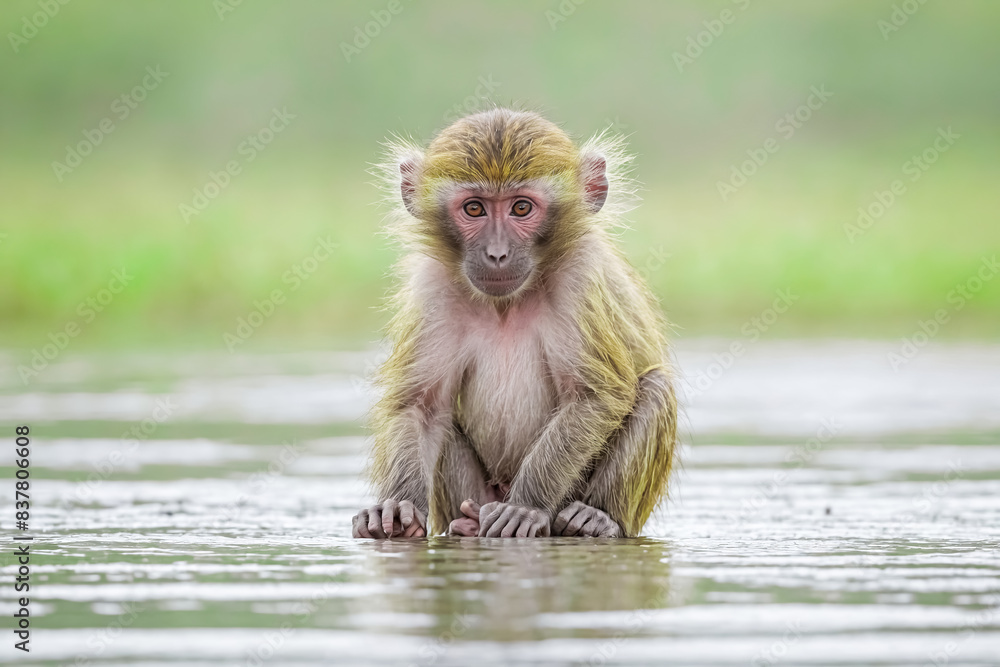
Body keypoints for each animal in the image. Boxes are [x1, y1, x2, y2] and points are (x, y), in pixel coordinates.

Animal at [351, 108, 677, 539]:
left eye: (521, 208)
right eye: (474, 209)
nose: (497, 254)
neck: (506, 304)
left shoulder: (581, 275)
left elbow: (595, 395)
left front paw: (526, 506)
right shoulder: (433, 286)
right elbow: (421, 406)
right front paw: (399, 505)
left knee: (655, 389)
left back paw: (596, 518)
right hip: (476, 493)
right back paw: (468, 524)